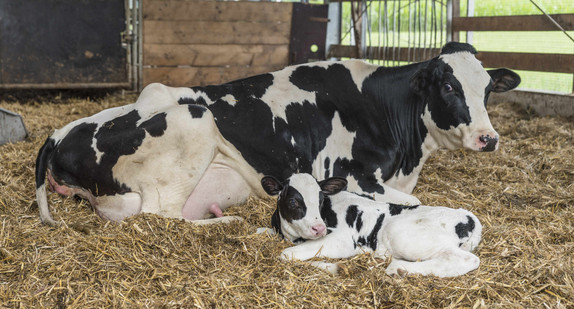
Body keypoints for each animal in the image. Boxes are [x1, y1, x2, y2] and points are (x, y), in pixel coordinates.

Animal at [35, 41, 520, 224]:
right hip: (193, 121)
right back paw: (225, 220)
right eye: (448, 86)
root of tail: (59, 133)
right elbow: (412, 202)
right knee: (162, 215)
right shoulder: (352, 172)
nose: (488, 138)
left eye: (488, 88)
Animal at [264, 173, 484, 276]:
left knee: (466, 260)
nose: (319, 229)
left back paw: (399, 269)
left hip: (403, 235)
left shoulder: (342, 238)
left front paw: (334, 267)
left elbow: (286, 255)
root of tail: (469, 218)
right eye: (293, 201)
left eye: (320, 199)